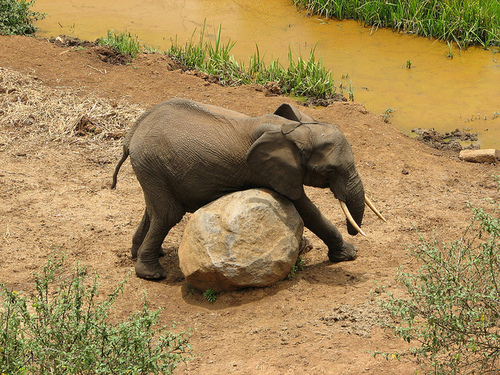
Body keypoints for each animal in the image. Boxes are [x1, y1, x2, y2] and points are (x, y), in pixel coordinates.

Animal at [112, 98, 386, 280]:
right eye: (329, 171)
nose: (354, 233)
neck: (297, 130)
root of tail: (131, 134)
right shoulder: (269, 171)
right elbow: (307, 209)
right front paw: (349, 254)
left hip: (151, 168)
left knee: (153, 211)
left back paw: (146, 254)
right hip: (152, 163)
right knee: (168, 214)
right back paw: (152, 274)